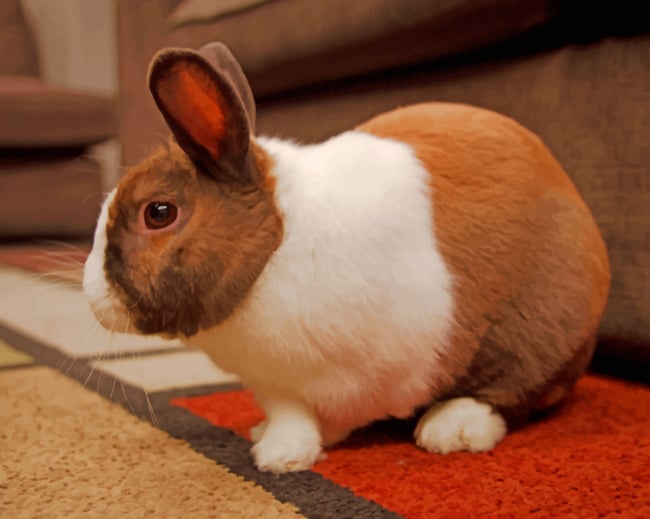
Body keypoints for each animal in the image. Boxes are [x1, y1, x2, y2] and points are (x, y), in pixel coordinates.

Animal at [83, 42, 610, 474]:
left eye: (159, 213)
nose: (92, 296)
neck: (276, 246)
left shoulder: (362, 374)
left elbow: (312, 417)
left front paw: (280, 458)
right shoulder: (278, 384)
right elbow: (290, 412)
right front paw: (273, 441)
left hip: (541, 332)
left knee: (514, 394)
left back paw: (450, 429)